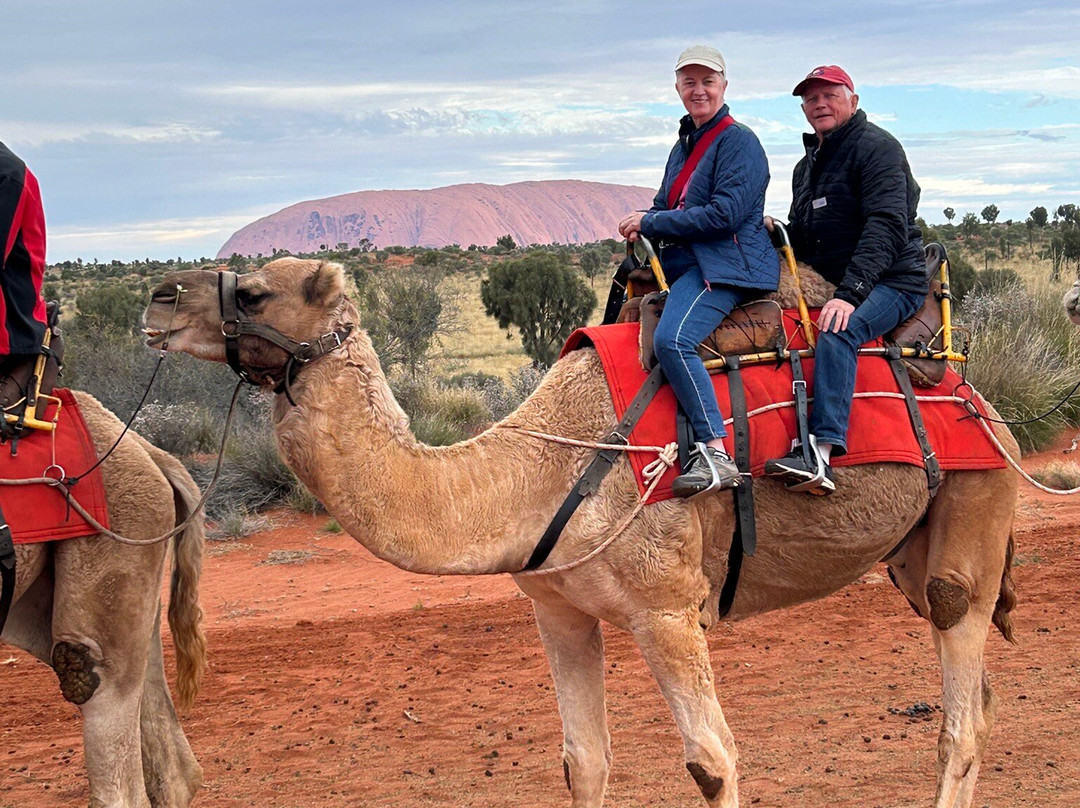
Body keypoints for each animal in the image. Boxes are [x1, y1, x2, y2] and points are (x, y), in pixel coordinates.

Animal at [143, 257, 1019, 808]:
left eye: (255, 293)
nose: (158, 298)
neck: (538, 467)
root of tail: (982, 397)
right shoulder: (557, 608)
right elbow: (583, 763)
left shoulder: (666, 606)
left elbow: (712, 762)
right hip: (910, 551)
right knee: (973, 691)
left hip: (977, 501)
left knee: (959, 696)